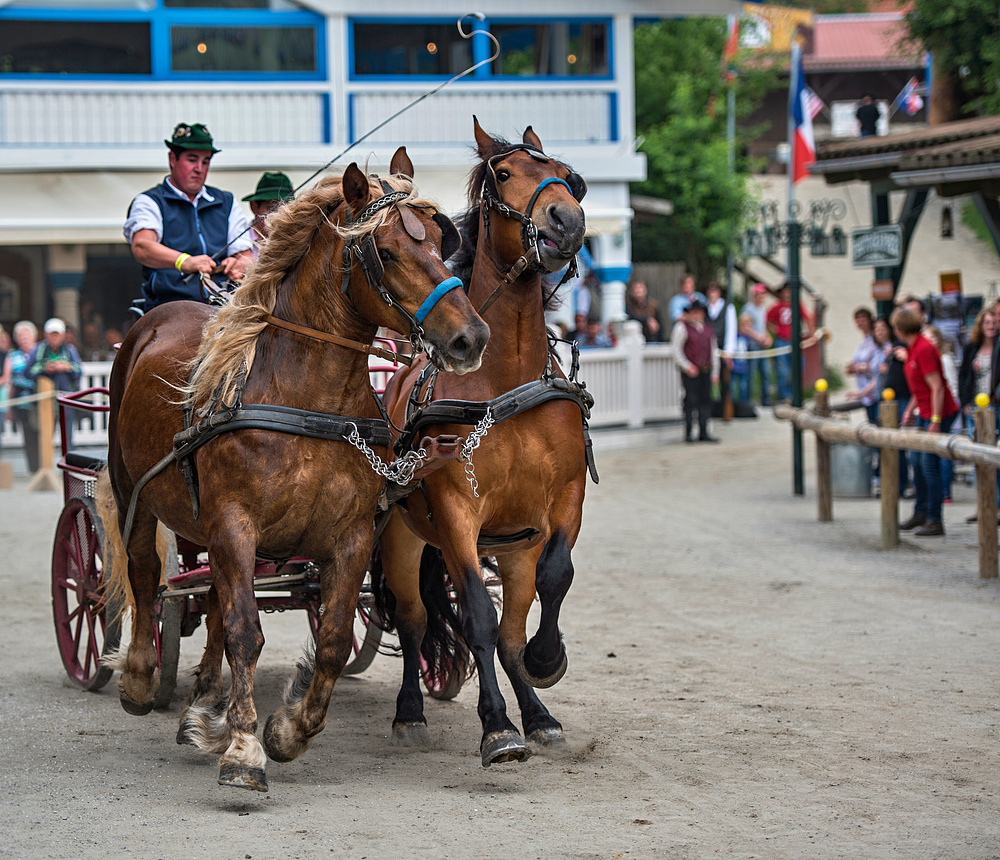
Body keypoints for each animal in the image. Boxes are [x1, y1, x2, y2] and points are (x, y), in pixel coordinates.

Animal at [100, 149, 488, 792]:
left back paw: (202, 709)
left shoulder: (350, 535)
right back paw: (138, 678)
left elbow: (328, 638)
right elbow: (245, 632)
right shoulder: (235, 522)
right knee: (146, 575)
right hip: (136, 487)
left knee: (211, 600)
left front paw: (286, 730)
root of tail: (158, 316)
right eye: (386, 252)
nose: (470, 337)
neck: (306, 397)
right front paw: (242, 751)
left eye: (440, 241)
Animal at [376, 119, 592, 764]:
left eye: (567, 175)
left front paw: (547, 664)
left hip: (511, 546)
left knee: (511, 628)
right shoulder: (456, 513)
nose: (566, 218)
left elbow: (554, 580)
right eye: (503, 172)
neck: (505, 382)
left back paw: (538, 713)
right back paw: (411, 711)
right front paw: (496, 726)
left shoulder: (561, 501)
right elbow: (474, 615)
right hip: (404, 537)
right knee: (416, 617)